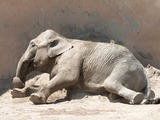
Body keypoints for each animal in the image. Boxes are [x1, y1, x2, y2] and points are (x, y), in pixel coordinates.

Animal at [11, 29, 154, 104]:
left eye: (32, 45)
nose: (18, 81)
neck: (65, 39)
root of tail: (144, 72)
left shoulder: (72, 56)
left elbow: (68, 77)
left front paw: (35, 99)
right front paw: (15, 93)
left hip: (126, 68)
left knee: (110, 83)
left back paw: (135, 98)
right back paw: (113, 97)